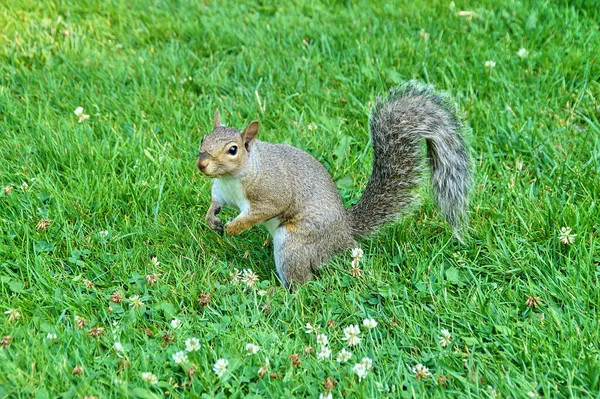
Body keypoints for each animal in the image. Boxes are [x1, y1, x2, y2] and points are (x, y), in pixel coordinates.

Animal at [197, 82, 468, 288]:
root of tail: (344, 232)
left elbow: (264, 210)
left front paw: (233, 228)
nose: (201, 164)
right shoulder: (221, 191)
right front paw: (212, 220)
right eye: (203, 138)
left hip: (295, 243)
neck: (233, 177)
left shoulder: (270, 192)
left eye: (233, 150)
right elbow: (214, 203)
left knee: (302, 281)